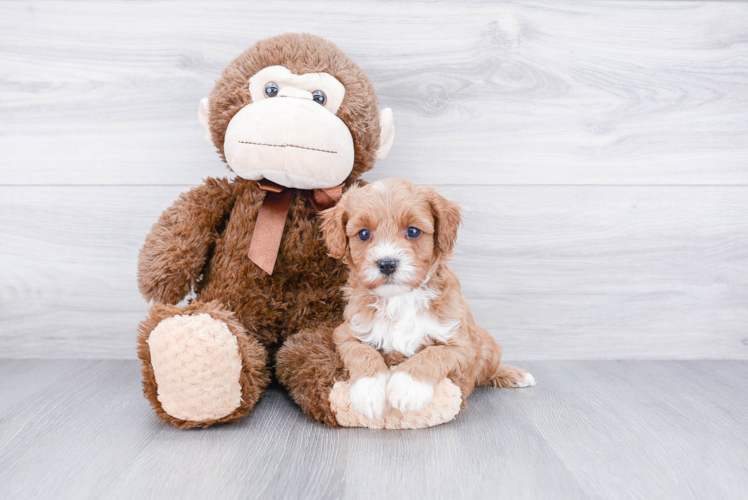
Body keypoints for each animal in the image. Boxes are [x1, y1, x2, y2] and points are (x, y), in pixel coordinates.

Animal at [318, 178, 536, 420]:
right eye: (363, 234)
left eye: (413, 231)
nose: (387, 263)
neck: (400, 299)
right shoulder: (346, 332)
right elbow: (361, 351)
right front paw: (369, 391)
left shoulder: (462, 344)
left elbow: (435, 353)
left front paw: (407, 387)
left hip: (488, 344)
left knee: (488, 371)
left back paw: (514, 374)